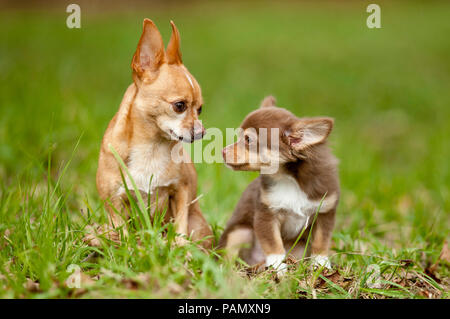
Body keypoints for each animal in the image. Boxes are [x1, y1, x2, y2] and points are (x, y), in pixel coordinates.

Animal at [92, 19, 214, 250]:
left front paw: (179, 248)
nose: (202, 132)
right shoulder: (114, 202)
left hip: (199, 224)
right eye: (179, 106)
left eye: (200, 109)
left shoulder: (181, 192)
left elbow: (180, 227)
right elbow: (123, 234)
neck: (152, 146)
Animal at [220, 96, 340, 274]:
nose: (222, 151)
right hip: (240, 232)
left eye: (248, 140)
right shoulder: (266, 214)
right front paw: (278, 266)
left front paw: (321, 265)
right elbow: (273, 243)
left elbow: (321, 241)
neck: (288, 178)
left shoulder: (325, 213)